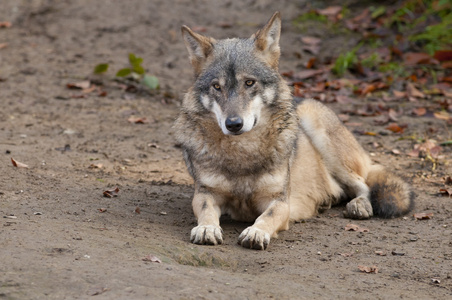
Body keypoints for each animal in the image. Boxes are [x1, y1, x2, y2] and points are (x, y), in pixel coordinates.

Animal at [175, 11, 414, 250]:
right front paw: (207, 228)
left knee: (364, 185)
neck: (242, 152)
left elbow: (267, 216)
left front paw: (256, 232)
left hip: (318, 129)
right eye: (217, 87)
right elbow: (206, 211)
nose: (233, 124)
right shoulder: (205, 193)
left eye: (249, 83)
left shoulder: (280, 201)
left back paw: (359, 205)